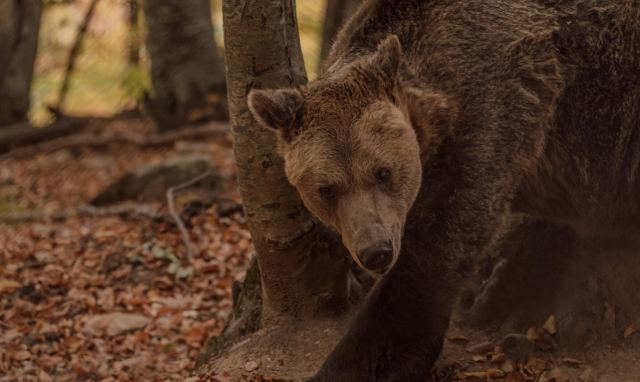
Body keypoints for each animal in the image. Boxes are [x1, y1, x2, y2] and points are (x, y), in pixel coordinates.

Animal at [246, 0, 640, 382]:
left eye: (382, 172)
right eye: (327, 189)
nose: (376, 251)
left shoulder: (491, 115)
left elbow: (433, 254)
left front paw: (354, 364)